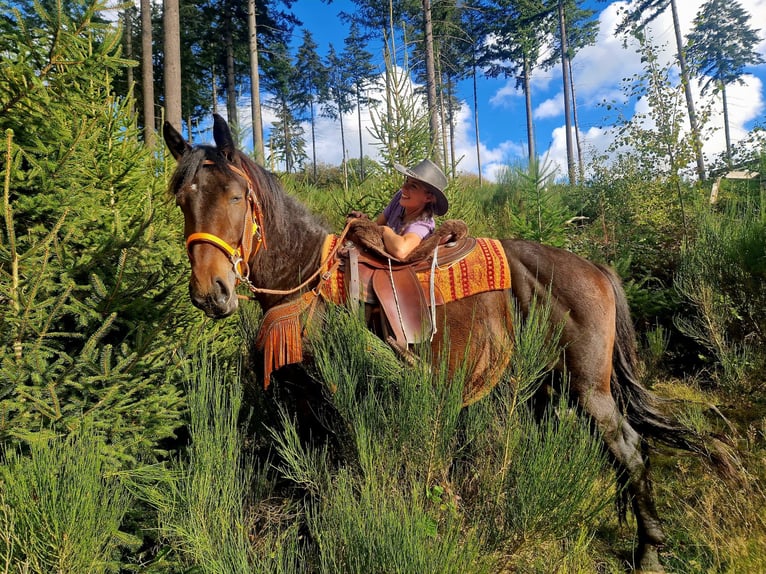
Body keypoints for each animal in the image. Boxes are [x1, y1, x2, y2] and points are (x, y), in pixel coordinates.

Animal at [163, 114, 729, 572]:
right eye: (183, 200)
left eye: (236, 197)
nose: (211, 293)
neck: (309, 276)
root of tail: (596, 269)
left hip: (589, 387)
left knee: (630, 451)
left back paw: (650, 552)